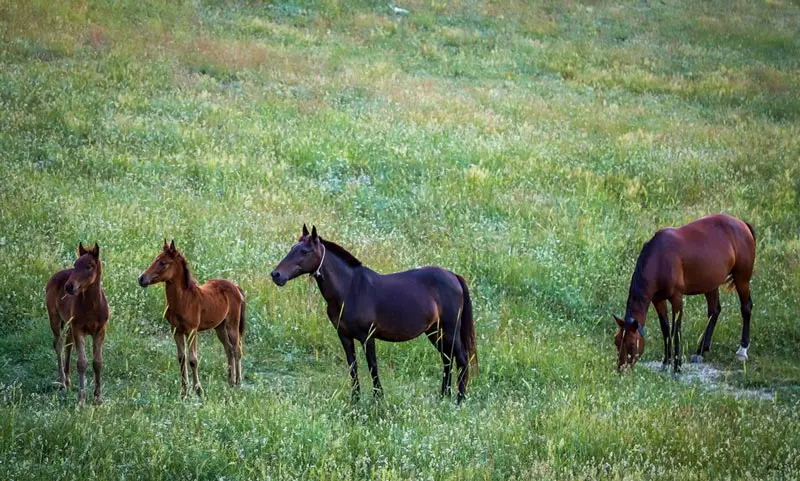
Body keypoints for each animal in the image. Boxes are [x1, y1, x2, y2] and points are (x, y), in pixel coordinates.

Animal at [45, 242, 109, 404]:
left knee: (68, 344)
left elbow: (97, 363)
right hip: (55, 318)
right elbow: (82, 363)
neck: (92, 306)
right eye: (75, 265)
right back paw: (62, 383)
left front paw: (98, 398)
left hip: (69, 325)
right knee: (59, 345)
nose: (69, 286)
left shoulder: (100, 330)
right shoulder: (79, 329)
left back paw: (68, 380)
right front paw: (82, 400)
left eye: (89, 266)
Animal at [138, 240, 245, 398]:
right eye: (155, 259)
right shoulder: (176, 331)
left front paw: (198, 389)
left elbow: (193, 359)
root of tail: (236, 286)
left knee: (237, 349)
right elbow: (181, 358)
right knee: (229, 349)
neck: (184, 299)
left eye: (163, 262)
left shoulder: (192, 331)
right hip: (219, 327)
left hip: (232, 324)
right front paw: (184, 391)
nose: (141, 279)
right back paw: (230, 382)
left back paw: (238, 382)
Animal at [272, 224, 478, 402]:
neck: (350, 289)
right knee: (447, 360)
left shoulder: (367, 336)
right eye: (292, 248)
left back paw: (459, 400)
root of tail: (453, 276)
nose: (276, 275)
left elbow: (373, 367)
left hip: (449, 330)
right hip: (434, 332)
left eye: (304, 251)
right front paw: (355, 400)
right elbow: (353, 367)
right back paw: (444, 396)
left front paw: (378, 399)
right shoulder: (344, 336)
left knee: (461, 359)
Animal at [620, 213, 756, 372]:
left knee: (746, 307)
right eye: (616, 342)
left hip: (742, 278)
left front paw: (677, 367)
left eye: (631, 344)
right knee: (714, 311)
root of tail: (743, 224)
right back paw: (700, 351)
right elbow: (665, 329)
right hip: (710, 283)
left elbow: (676, 330)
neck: (660, 258)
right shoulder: (658, 300)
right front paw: (666, 362)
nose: (621, 368)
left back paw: (742, 350)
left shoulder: (677, 298)